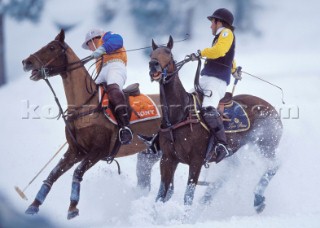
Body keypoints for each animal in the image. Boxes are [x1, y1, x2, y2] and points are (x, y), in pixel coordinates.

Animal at [21, 29, 161, 220]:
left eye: (52, 47)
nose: (26, 62)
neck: (85, 104)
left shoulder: (98, 151)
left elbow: (77, 172)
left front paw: (73, 208)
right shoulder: (76, 151)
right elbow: (53, 174)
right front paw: (34, 205)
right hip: (150, 154)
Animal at [148, 35, 282, 212]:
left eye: (168, 53)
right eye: (151, 53)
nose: (153, 65)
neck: (179, 115)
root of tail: (271, 108)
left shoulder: (196, 161)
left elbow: (187, 197)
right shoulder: (168, 159)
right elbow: (160, 196)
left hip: (266, 144)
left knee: (274, 166)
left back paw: (258, 198)